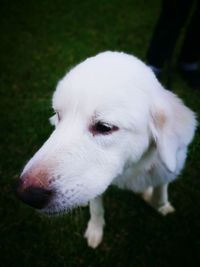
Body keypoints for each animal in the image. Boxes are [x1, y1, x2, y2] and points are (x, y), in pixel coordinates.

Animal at [16, 51, 196, 249]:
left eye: (104, 127)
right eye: (58, 114)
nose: (27, 194)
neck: (130, 170)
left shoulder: (168, 169)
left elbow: (160, 195)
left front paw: (155, 200)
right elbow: (96, 208)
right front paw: (95, 230)